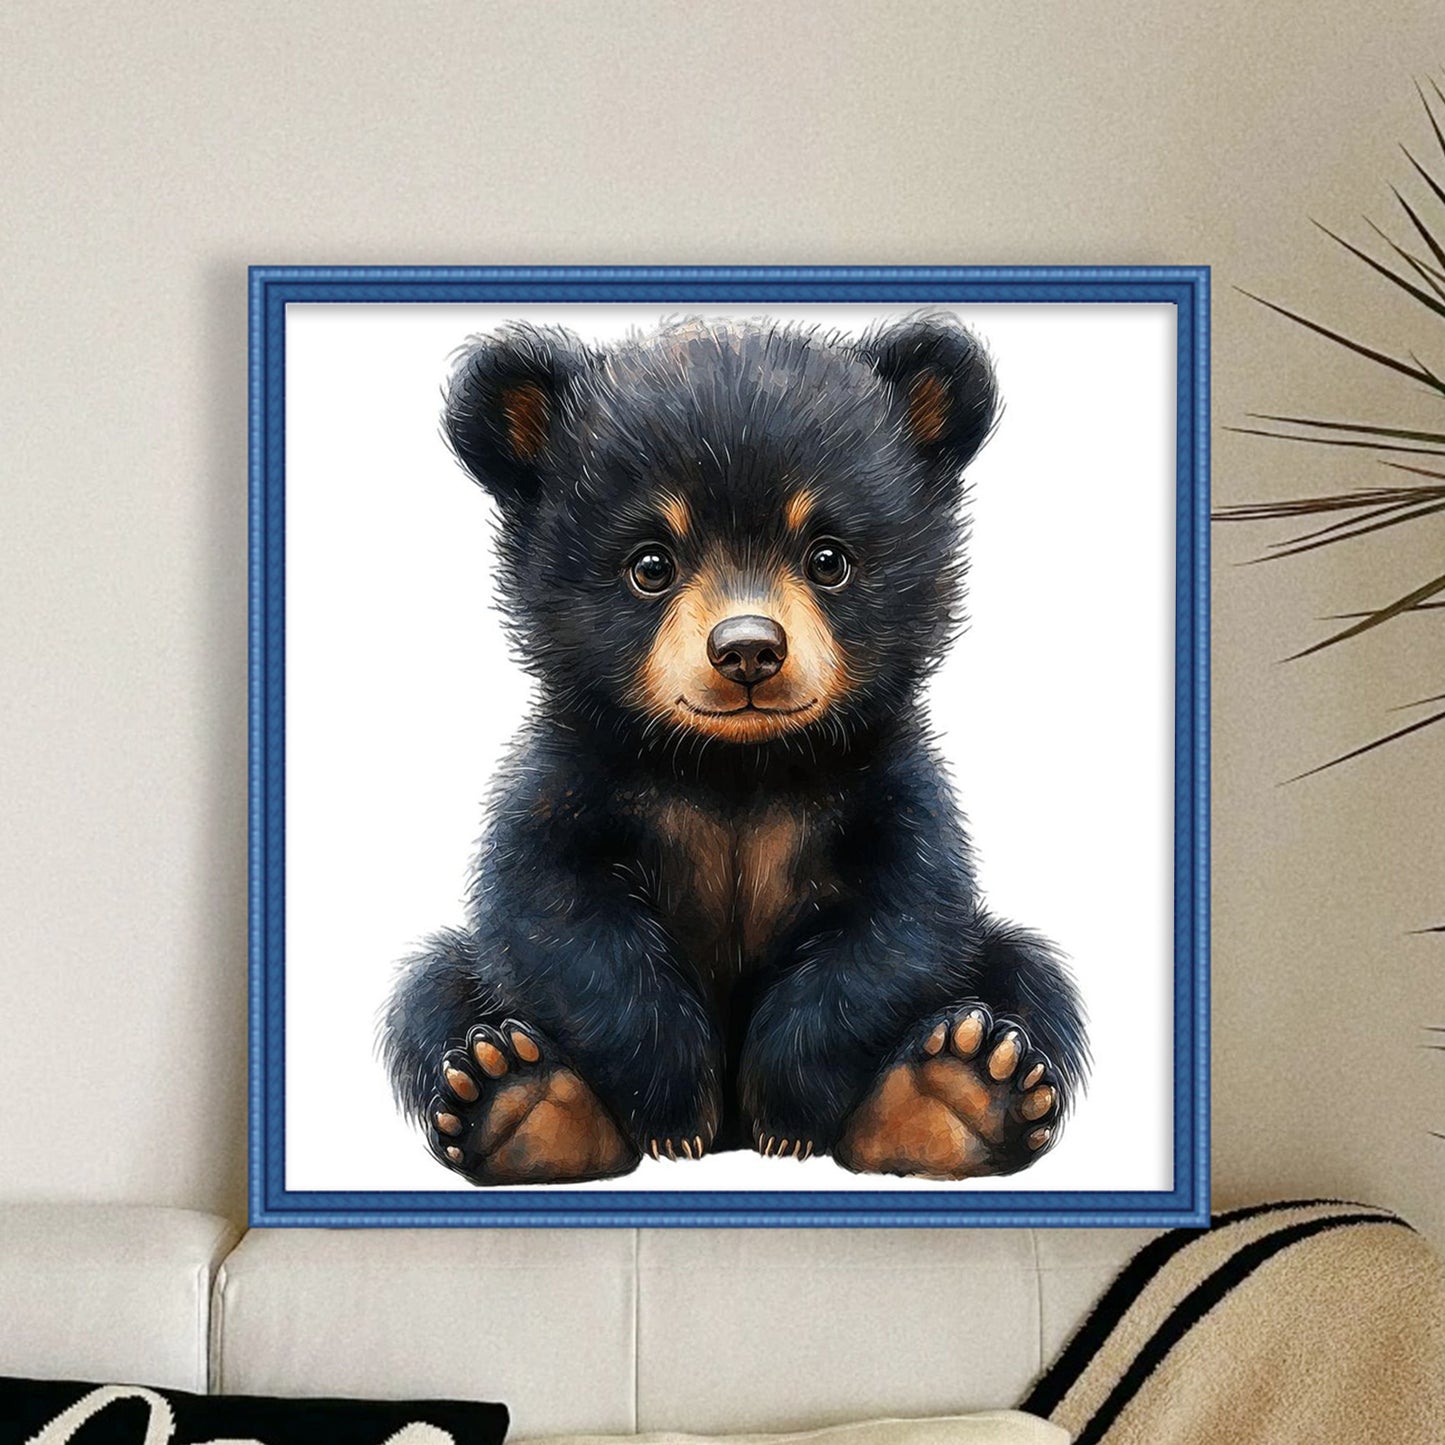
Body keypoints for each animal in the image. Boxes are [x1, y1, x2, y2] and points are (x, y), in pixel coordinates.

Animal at [378, 312, 1089, 1185]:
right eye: (650, 563)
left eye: (828, 557)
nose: (748, 648)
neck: (737, 763)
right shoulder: (571, 776)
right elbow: (556, 913)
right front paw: (673, 1109)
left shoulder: (889, 787)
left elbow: (900, 925)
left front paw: (786, 1114)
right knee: (432, 988)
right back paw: (519, 1099)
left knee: (1030, 975)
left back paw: (957, 1089)